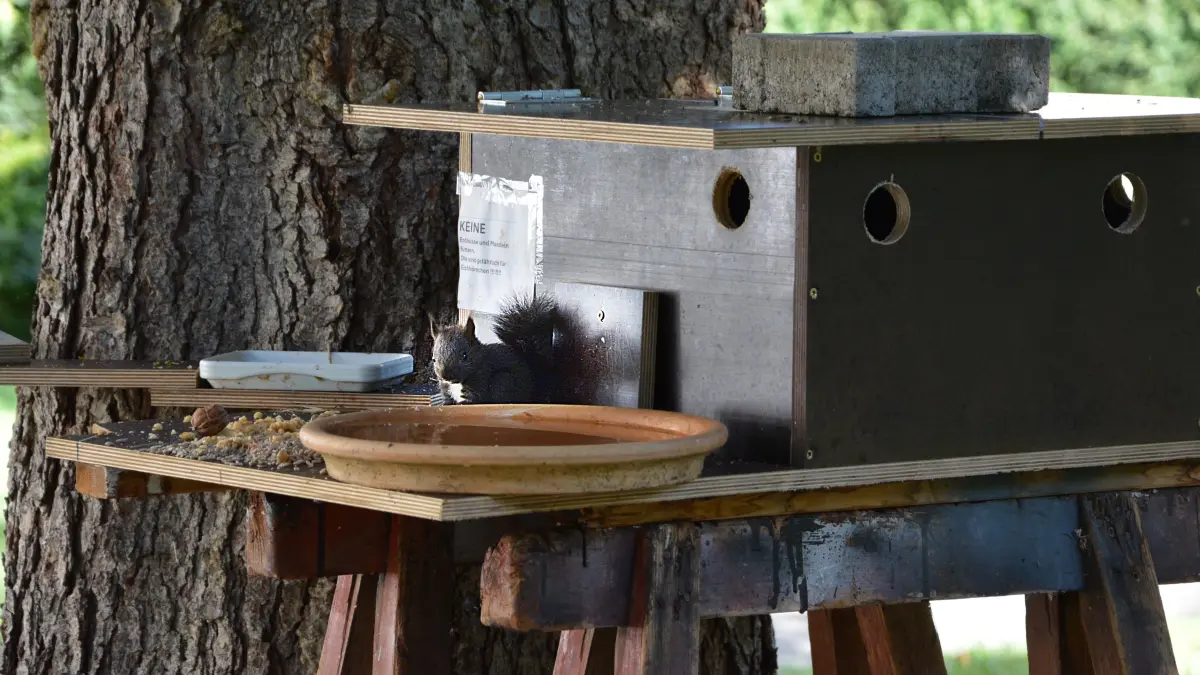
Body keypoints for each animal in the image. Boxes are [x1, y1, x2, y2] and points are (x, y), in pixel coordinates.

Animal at [429, 293, 558, 404]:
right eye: (434, 359)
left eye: (464, 356)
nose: (446, 376)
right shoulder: (447, 391)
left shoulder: (481, 381)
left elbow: (474, 399)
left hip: (502, 381)